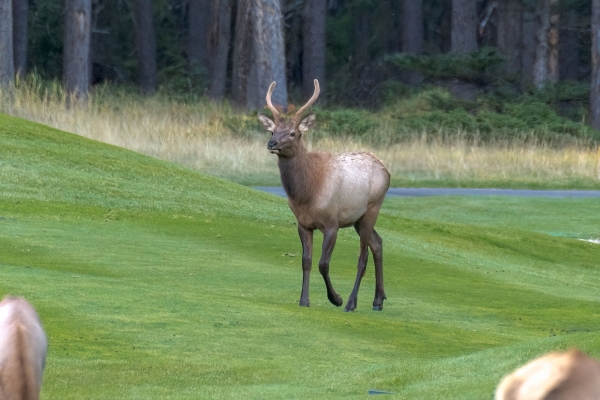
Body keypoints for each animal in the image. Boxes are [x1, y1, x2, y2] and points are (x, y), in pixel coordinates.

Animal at [256, 79, 390, 310]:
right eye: (272, 131)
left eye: (292, 133)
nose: (272, 144)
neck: (307, 193)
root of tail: (386, 171)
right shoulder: (303, 223)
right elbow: (306, 261)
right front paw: (304, 300)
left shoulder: (331, 223)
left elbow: (323, 263)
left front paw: (336, 298)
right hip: (358, 218)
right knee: (378, 243)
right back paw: (378, 300)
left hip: (373, 208)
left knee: (363, 256)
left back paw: (351, 303)